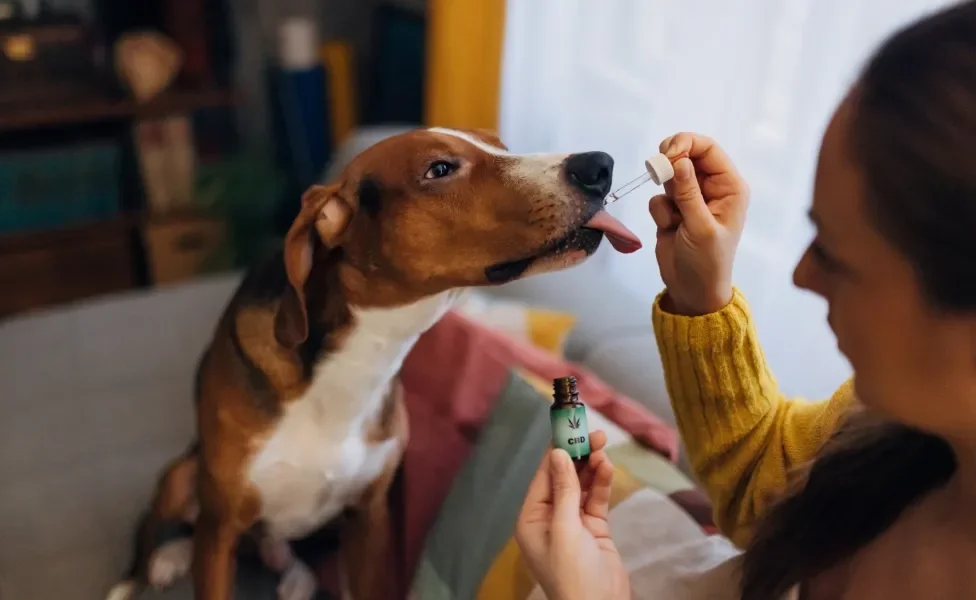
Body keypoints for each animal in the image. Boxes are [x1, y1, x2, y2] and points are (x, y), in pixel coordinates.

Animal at [107, 126, 644, 600]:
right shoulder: (220, 528)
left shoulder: (371, 517)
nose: (600, 165)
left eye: (503, 147)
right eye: (440, 168)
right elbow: (209, 546)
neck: (362, 360)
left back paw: (293, 575)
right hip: (182, 478)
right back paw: (158, 562)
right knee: (163, 527)